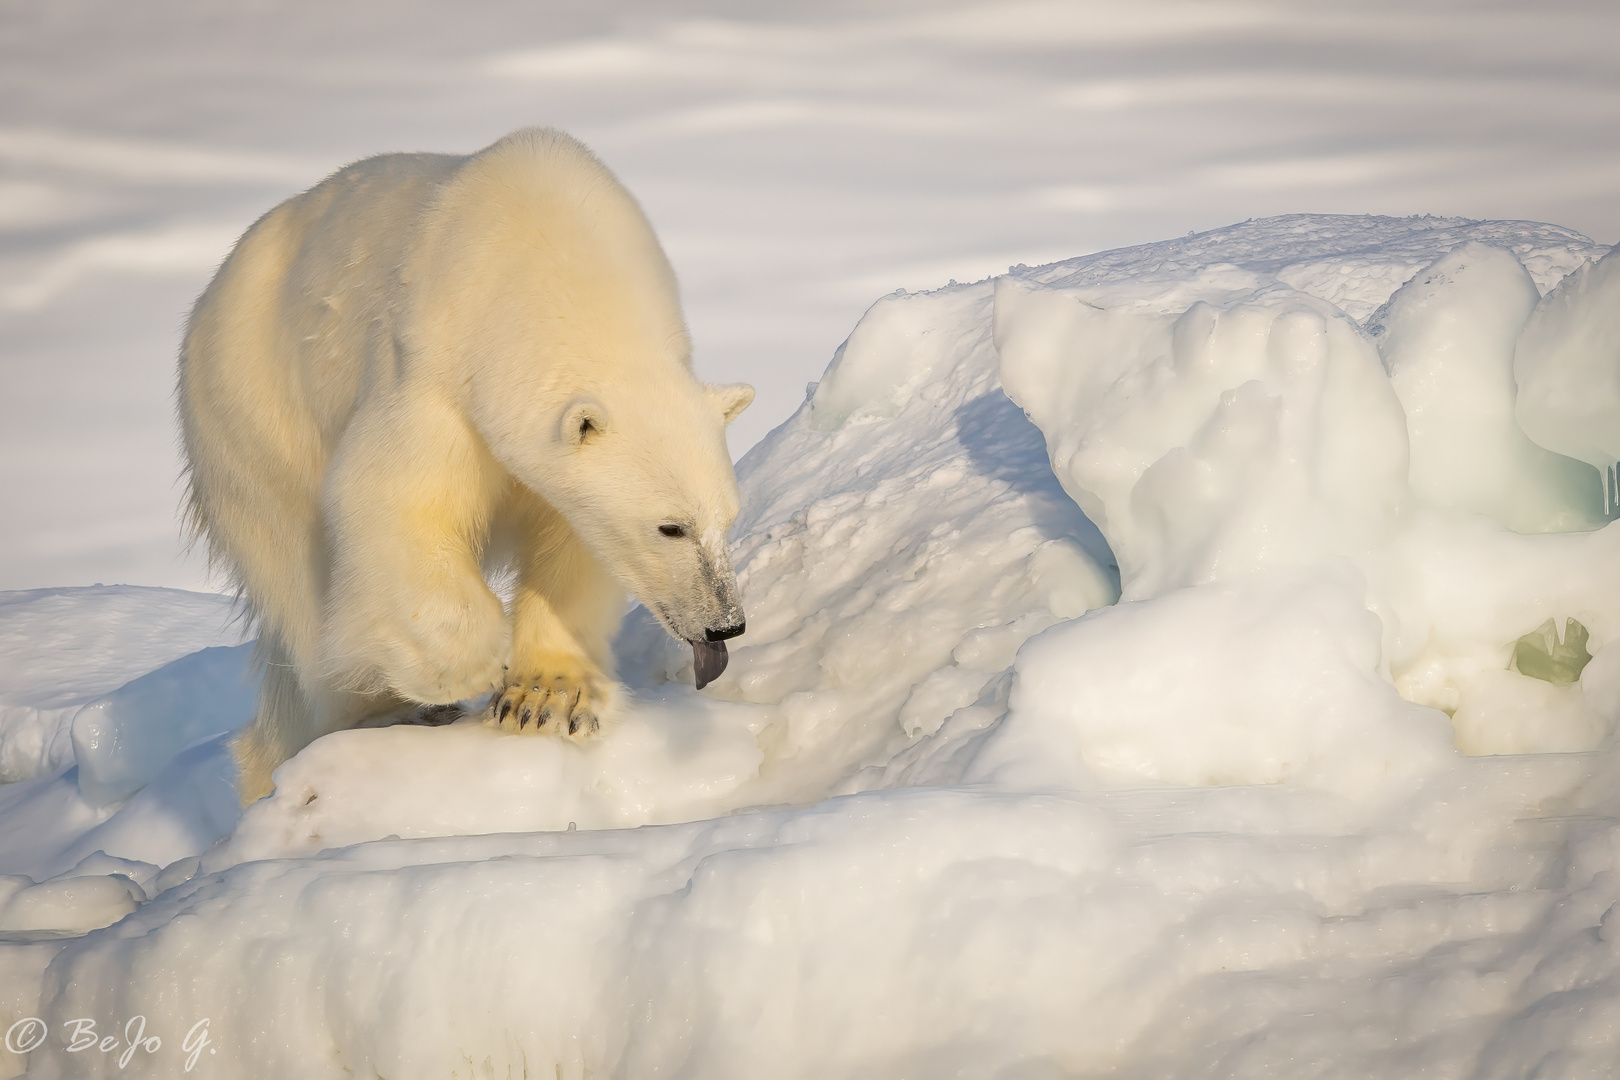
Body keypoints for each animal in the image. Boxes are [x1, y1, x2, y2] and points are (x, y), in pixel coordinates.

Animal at [177, 128, 751, 803]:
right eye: (670, 526)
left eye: (728, 521)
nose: (725, 626)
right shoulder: (434, 370)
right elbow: (394, 499)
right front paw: (479, 664)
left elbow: (572, 543)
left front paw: (546, 698)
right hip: (253, 415)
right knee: (302, 581)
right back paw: (376, 710)